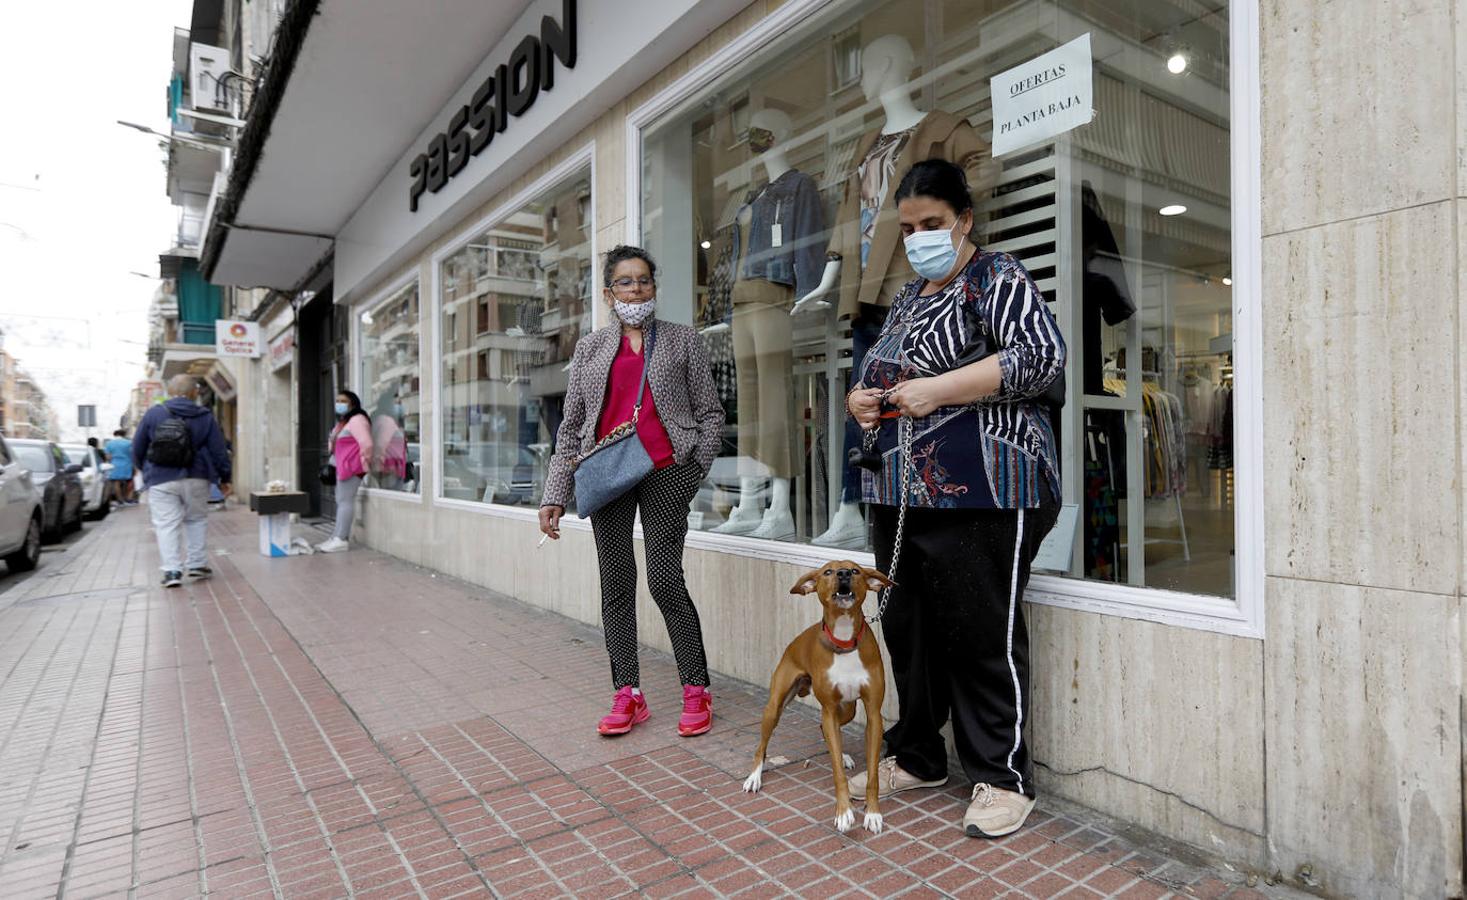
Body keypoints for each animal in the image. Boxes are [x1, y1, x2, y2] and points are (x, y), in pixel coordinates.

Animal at [745, 557, 891, 833]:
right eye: (827, 572)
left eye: (856, 570)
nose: (843, 574)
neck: (844, 641)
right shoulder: (829, 709)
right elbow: (837, 774)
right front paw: (844, 812)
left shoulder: (873, 714)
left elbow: (873, 774)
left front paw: (873, 813)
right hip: (775, 707)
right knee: (761, 747)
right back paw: (754, 777)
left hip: (848, 709)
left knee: (825, 729)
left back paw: (842, 755)